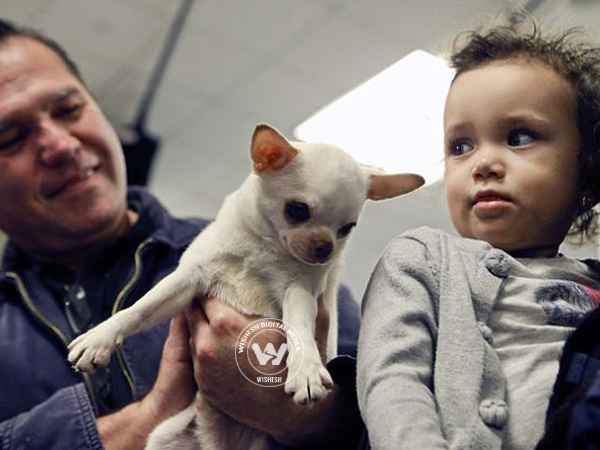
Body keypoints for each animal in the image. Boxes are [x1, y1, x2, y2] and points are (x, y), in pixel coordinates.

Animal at [68, 124, 424, 450]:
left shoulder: (299, 293)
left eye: (347, 228)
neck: (264, 249)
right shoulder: (189, 278)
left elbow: (299, 329)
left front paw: (306, 370)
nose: (325, 248)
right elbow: (140, 308)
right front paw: (99, 338)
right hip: (163, 438)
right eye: (297, 210)